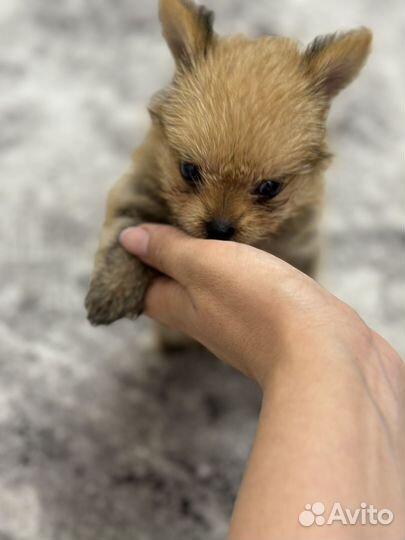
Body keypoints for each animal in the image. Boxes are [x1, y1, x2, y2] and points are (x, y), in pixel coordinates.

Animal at [83, 0, 370, 330]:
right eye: (188, 171)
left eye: (270, 188)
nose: (219, 228)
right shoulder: (140, 189)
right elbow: (125, 235)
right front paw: (112, 291)